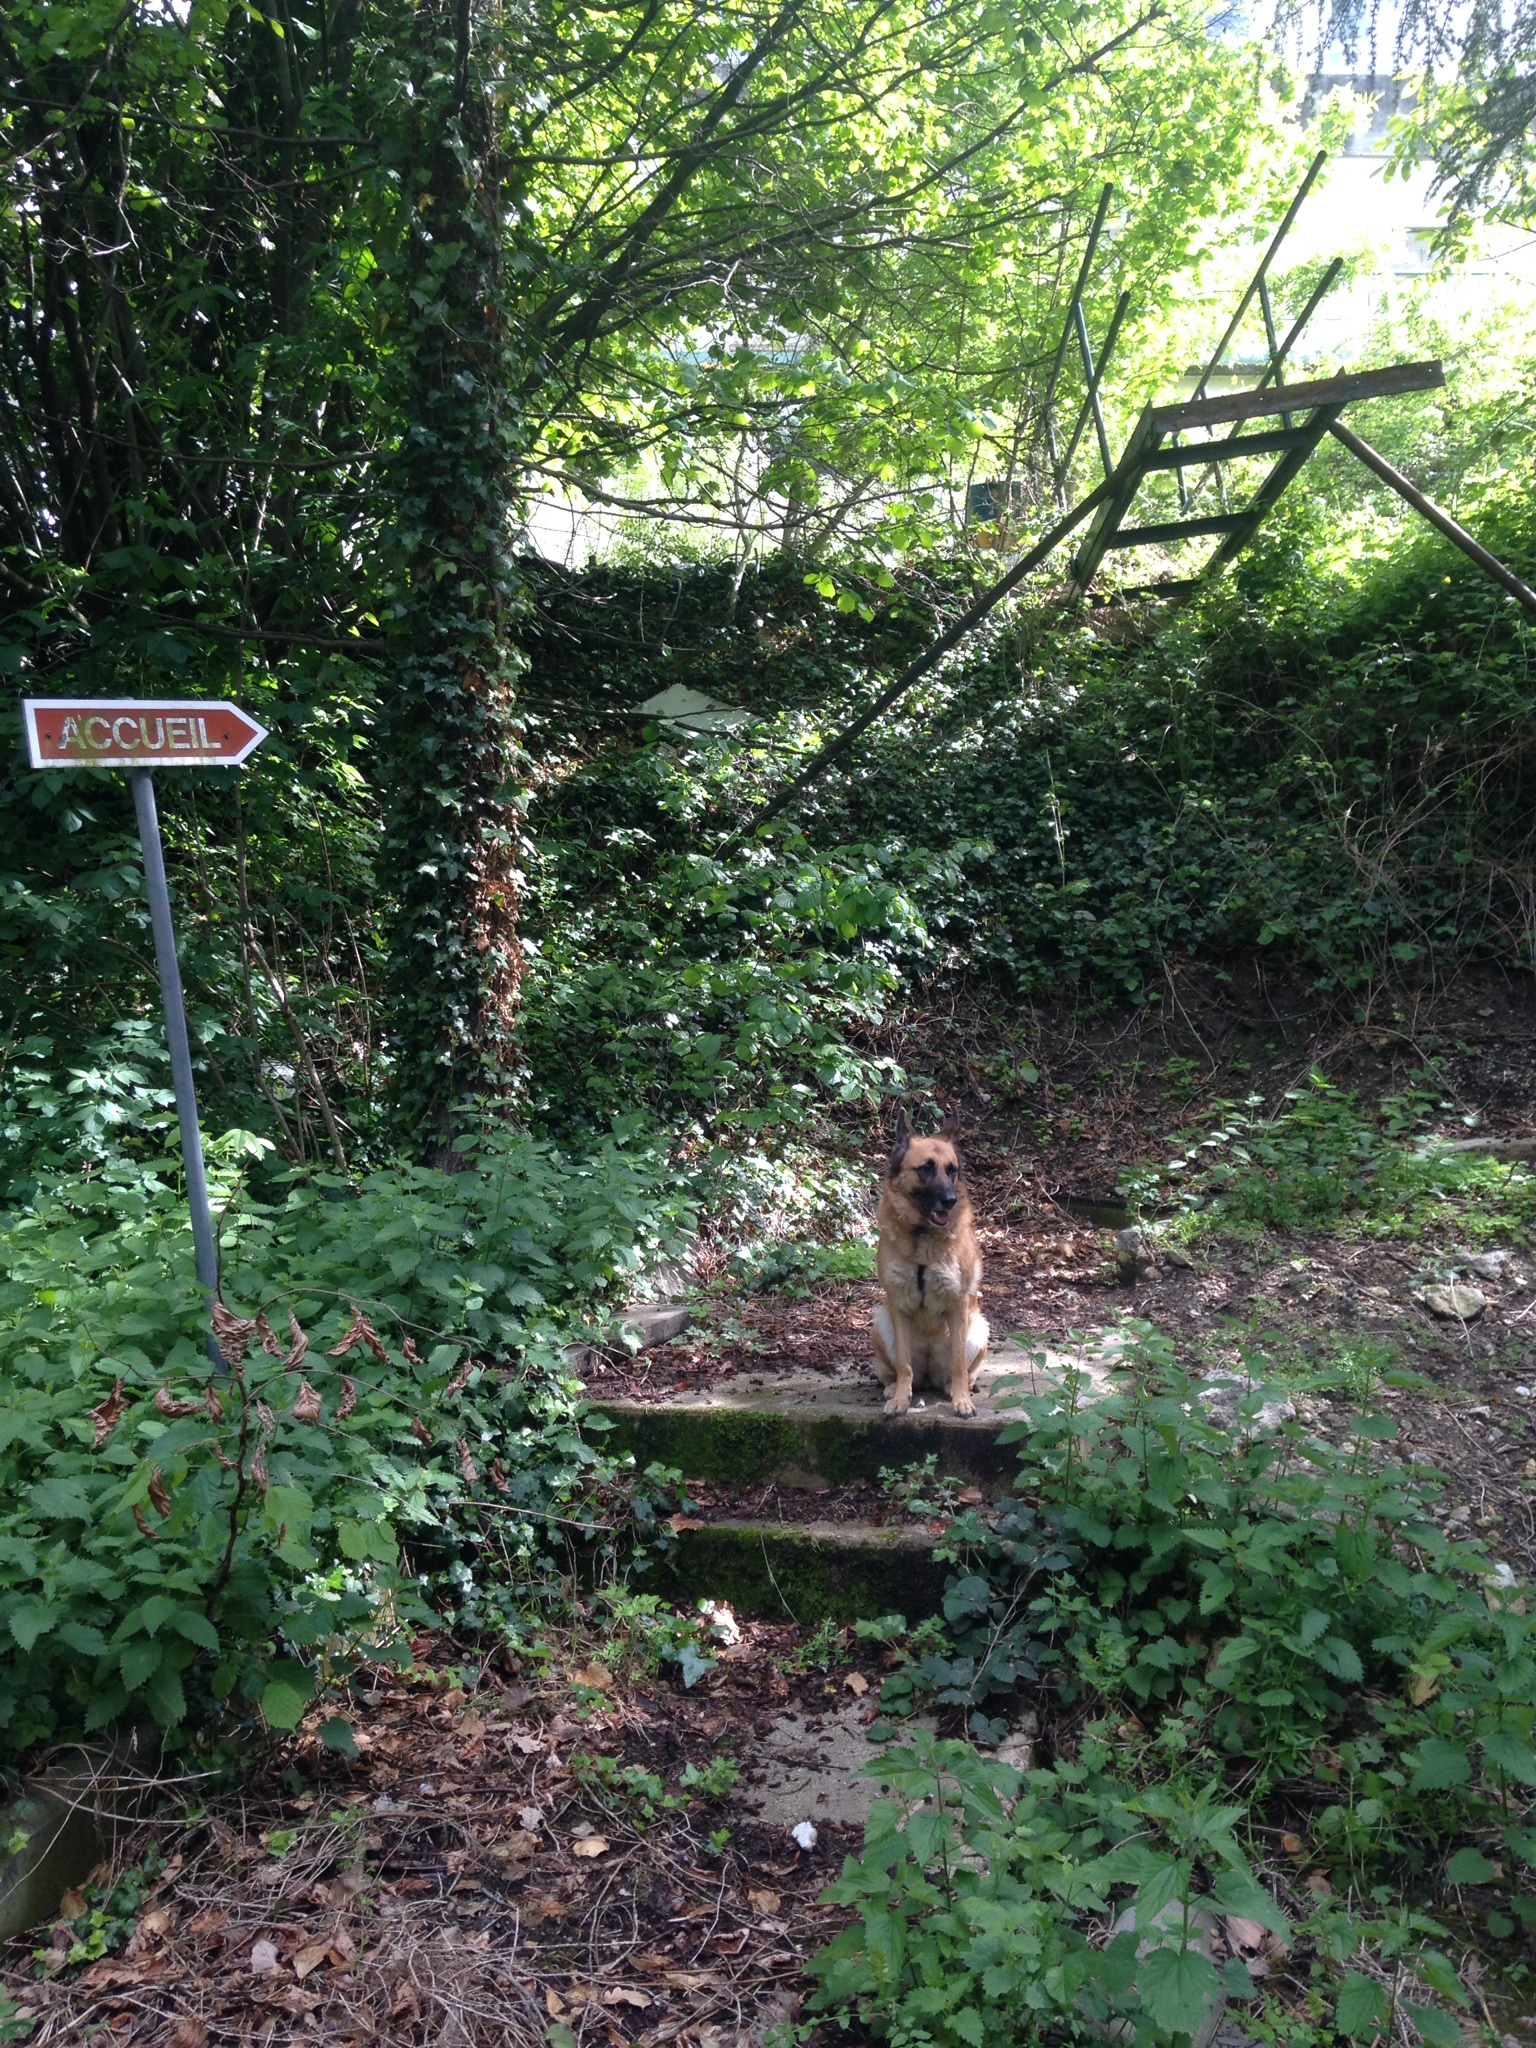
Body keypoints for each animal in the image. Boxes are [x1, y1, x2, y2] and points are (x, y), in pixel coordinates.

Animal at [873, 1112, 988, 1417]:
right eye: (925, 1168)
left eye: (952, 1170)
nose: (950, 1200)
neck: (921, 1240)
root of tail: (928, 1376)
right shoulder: (898, 1305)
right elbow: (904, 1366)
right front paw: (900, 1400)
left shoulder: (958, 1304)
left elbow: (959, 1366)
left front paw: (962, 1401)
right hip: (880, 1322)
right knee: (897, 1371)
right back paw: (894, 1388)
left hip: (978, 1329)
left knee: (961, 1372)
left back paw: (953, 1388)